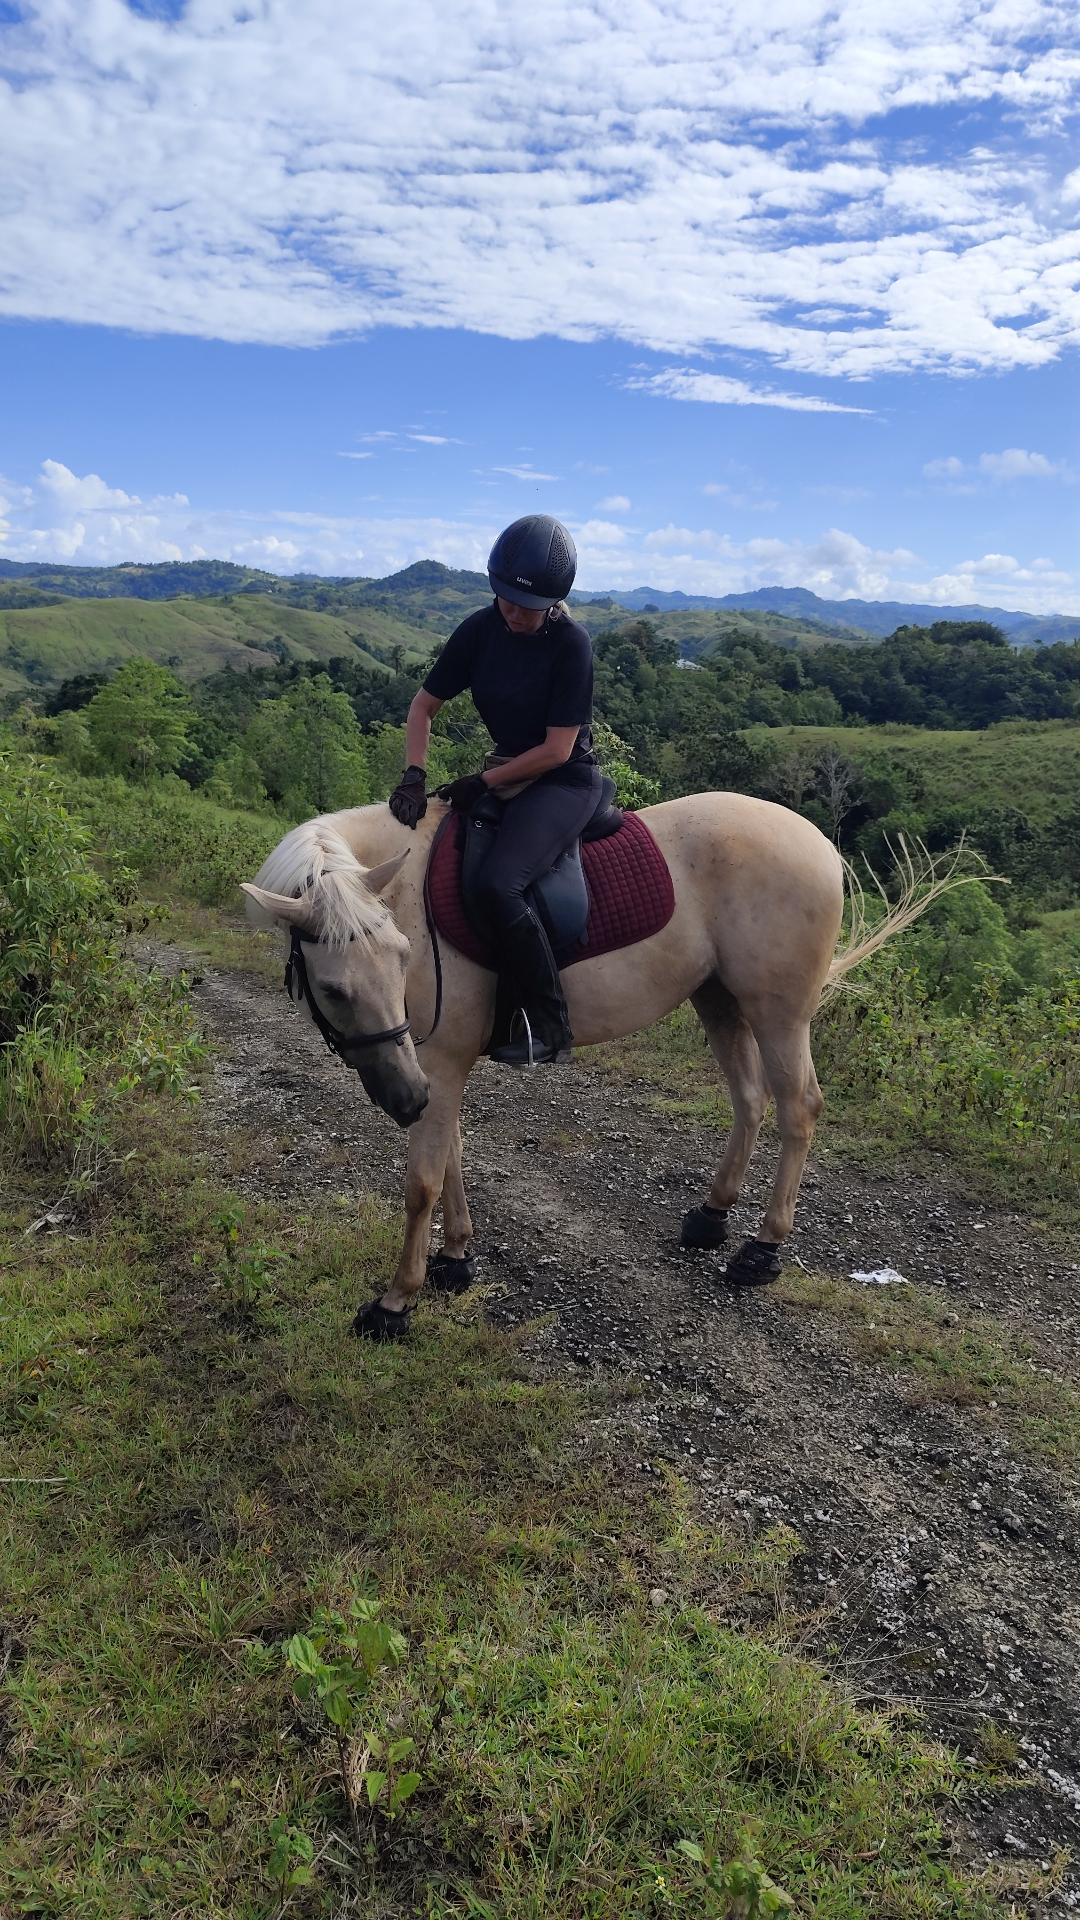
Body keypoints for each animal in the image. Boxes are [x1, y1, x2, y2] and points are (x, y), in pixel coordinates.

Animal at [242, 793, 922, 1332]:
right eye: (334, 989)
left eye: (404, 956)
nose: (404, 1099)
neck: (414, 897)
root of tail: (819, 843)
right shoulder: (438, 1064)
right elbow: (454, 1154)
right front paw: (455, 1259)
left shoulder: (440, 1060)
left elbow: (423, 1182)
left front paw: (395, 1302)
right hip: (718, 999)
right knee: (750, 1099)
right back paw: (711, 1216)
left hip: (777, 1013)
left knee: (797, 1108)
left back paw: (762, 1249)